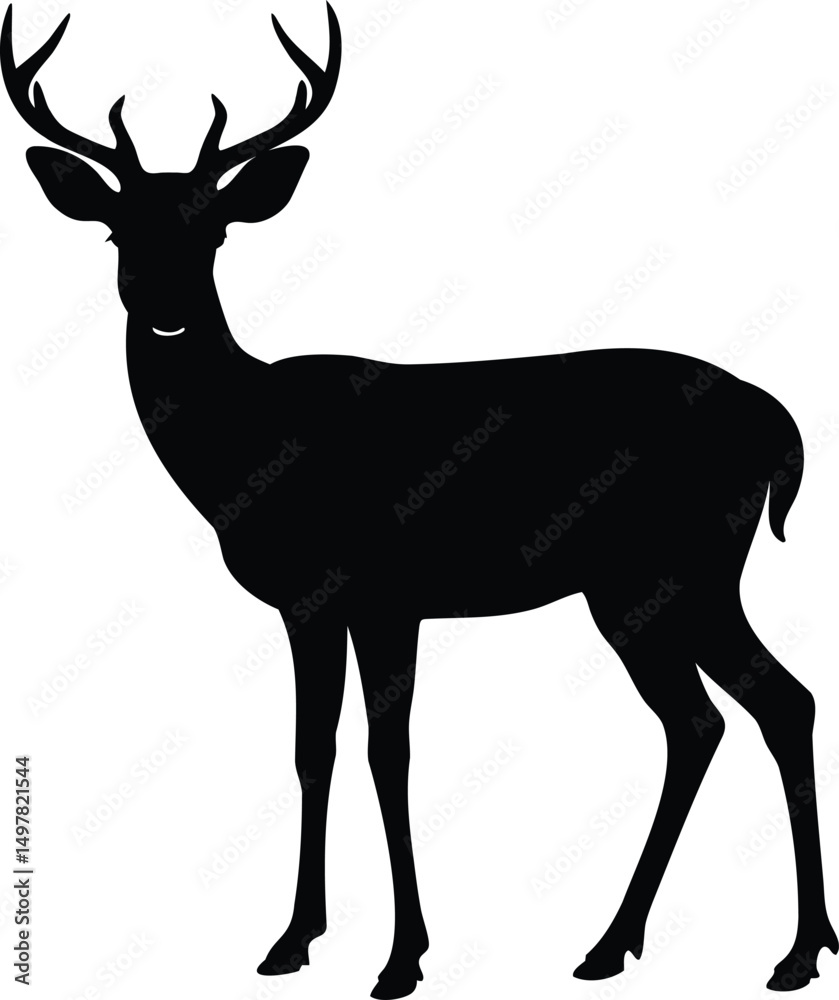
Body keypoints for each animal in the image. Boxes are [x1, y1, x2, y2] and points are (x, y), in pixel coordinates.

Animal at [2, 3, 836, 997]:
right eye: (116, 233)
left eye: (216, 234)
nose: (166, 311)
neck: (244, 451)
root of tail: (780, 425)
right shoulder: (312, 603)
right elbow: (312, 749)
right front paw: (296, 940)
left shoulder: (378, 591)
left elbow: (384, 752)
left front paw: (399, 958)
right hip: (645, 587)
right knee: (718, 717)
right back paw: (635, 945)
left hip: (676, 568)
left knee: (761, 705)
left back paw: (783, 951)